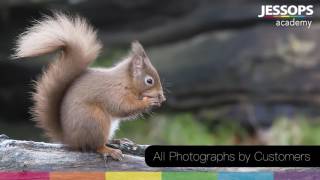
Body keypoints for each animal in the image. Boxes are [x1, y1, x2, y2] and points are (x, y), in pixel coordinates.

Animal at [12, 13, 166, 161]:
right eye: (149, 81)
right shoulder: (114, 93)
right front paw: (149, 101)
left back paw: (117, 141)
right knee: (95, 146)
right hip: (95, 120)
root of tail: (70, 140)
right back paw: (108, 150)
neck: (126, 81)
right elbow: (123, 107)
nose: (162, 97)